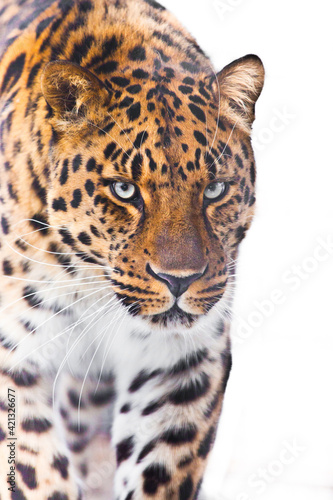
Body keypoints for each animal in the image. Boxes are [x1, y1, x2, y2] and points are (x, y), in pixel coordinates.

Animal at [0, 0, 264, 498]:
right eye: (125, 190)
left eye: (215, 189)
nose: (179, 281)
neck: (89, 283)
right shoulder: (14, 355)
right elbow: (34, 467)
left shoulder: (179, 363)